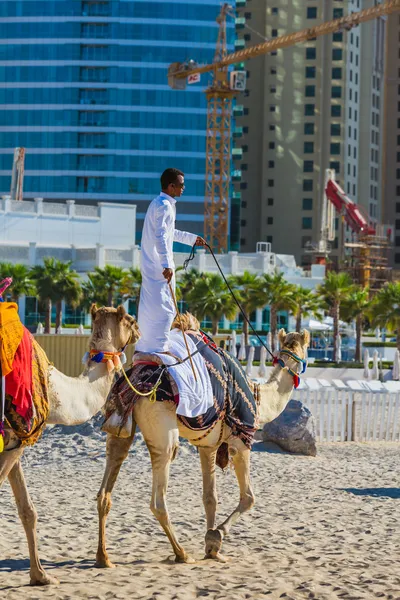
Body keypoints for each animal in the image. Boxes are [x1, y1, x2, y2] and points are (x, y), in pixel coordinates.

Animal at [0, 304, 140, 584]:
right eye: (130, 320)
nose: (140, 330)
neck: (58, 393)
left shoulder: (15, 441)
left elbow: (27, 510)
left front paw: (40, 576)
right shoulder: (15, 434)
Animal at [96, 318, 310, 568]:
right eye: (307, 347)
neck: (258, 397)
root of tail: (137, 380)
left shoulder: (208, 446)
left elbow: (210, 497)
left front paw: (211, 549)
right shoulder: (240, 440)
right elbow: (249, 497)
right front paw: (216, 536)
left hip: (120, 426)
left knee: (105, 490)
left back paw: (103, 557)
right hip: (163, 430)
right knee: (158, 499)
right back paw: (181, 554)